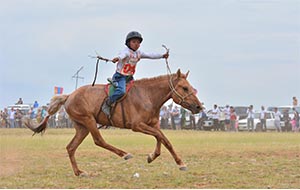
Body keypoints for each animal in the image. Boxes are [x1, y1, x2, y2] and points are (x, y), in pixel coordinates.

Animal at [25, 68, 203, 177]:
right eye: (185, 88)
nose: (199, 107)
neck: (147, 95)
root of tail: (69, 96)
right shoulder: (137, 126)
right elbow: (162, 138)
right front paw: (178, 162)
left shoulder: (153, 125)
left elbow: (163, 140)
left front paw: (155, 157)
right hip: (88, 121)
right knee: (98, 140)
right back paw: (124, 154)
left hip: (82, 127)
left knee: (71, 147)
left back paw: (79, 172)